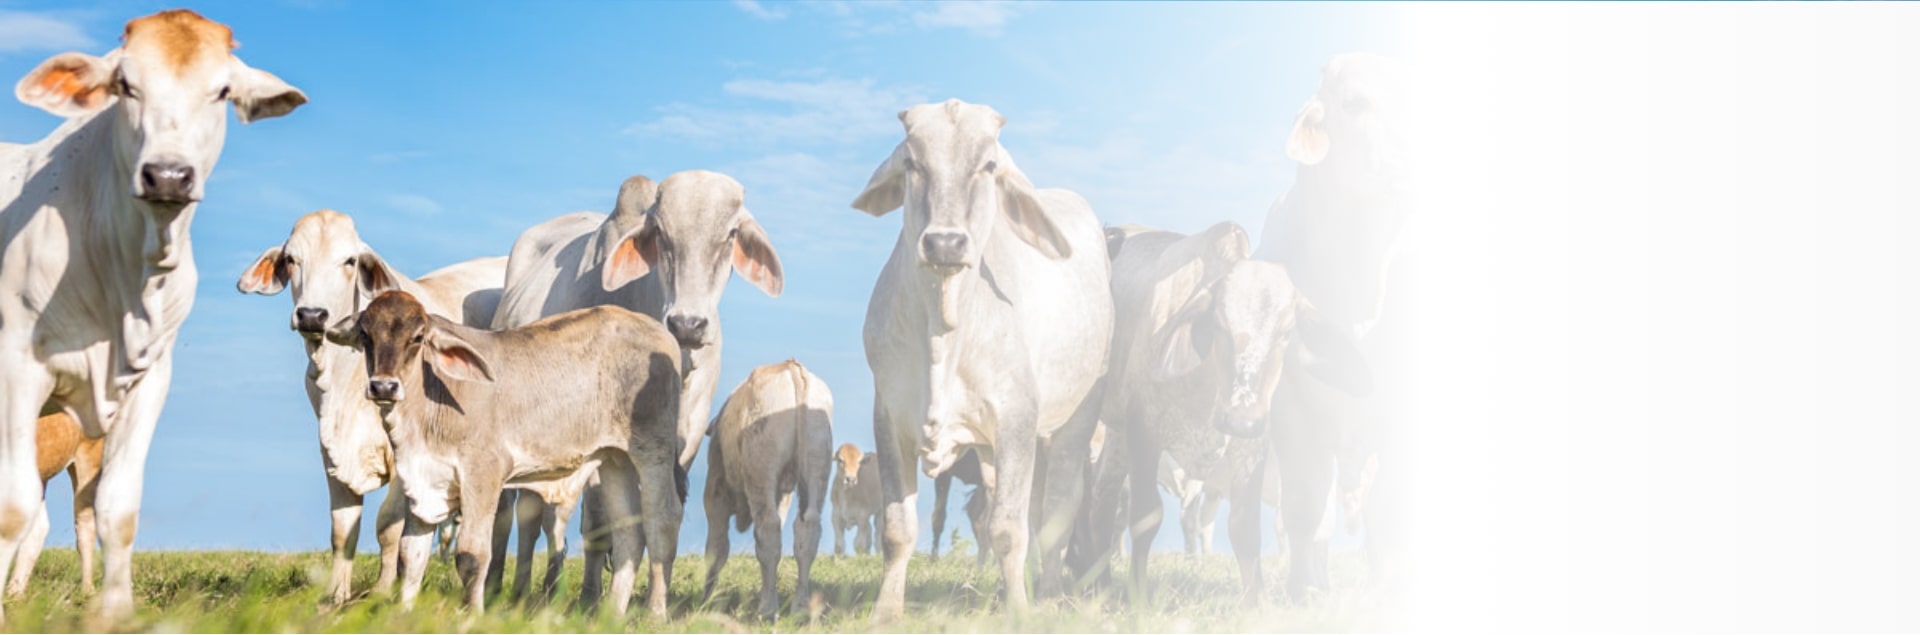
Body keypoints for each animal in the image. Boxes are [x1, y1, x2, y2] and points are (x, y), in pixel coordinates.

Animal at [0, 9, 305, 621]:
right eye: (126, 85)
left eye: (222, 91)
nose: (167, 175)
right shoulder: (18, 367)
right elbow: (12, 507)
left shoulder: (150, 378)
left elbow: (119, 508)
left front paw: (115, 612)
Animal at [235, 209, 506, 606]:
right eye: (292, 259)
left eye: (349, 261)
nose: (312, 315)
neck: (341, 372)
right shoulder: (329, 449)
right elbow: (342, 529)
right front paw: (335, 597)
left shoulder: (406, 455)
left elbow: (388, 527)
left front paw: (381, 590)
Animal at [326, 291, 687, 617]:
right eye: (365, 334)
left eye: (417, 337)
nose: (383, 386)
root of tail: (656, 330)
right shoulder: (422, 481)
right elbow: (409, 556)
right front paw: (403, 614)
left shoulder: (483, 474)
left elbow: (472, 555)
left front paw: (472, 614)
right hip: (614, 458)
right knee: (629, 531)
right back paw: (611, 614)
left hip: (653, 449)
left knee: (662, 520)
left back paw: (655, 613)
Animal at [698, 362, 833, 621]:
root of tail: (792, 368)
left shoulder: (715, 490)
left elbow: (716, 547)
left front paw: (705, 601)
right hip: (817, 462)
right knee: (807, 531)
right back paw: (800, 608)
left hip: (761, 469)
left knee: (768, 529)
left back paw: (767, 610)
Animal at [852, 100, 1121, 621]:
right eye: (912, 163)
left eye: (989, 165)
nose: (945, 244)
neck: (944, 329)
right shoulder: (888, 416)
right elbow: (897, 529)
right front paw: (885, 613)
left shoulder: (1018, 416)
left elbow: (1010, 529)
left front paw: (1020, 612)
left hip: (1079, 414)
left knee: (1057, 507)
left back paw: (1049, 592)